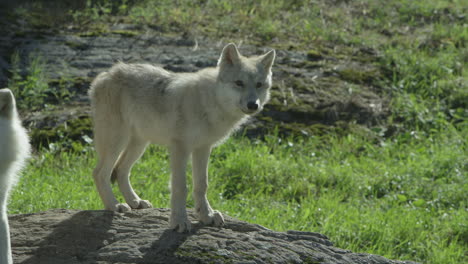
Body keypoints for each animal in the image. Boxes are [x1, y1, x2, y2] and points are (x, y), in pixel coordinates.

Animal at [89, 42, 276, 231]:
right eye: (239, 83)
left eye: (259, 85)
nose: (253, 105)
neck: (209, 103)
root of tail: (105, 75)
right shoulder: (180, 148)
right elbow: (180, 188)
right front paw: (179, 221)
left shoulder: (203, 148)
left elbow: (201, 185)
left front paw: (207, 215)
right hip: (117, 142)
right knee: (99, 173)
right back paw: (114, 205)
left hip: (139, 145)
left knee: (121, 170)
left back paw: (135, 201)